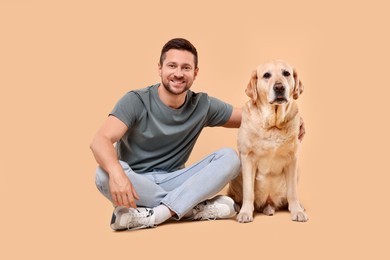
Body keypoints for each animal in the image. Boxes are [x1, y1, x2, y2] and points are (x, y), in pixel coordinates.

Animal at [229, 60, 308, 222]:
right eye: (266, 75)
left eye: (286, 73)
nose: (279, 87)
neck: (273, 125)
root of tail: (269, 203)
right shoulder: (247, 157)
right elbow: (249, 192)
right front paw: (245, 212)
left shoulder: (292, 159)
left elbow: (293, 192)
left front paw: (297, 211)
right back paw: (239, 207)